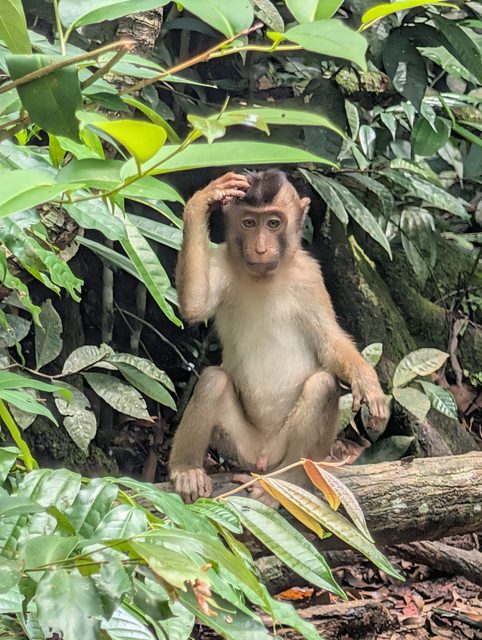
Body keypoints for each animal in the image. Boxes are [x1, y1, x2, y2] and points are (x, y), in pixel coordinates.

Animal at [169, 169, 388, 504]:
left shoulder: (310, 276)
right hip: (241, 447)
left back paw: (288, 481)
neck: (264, 275)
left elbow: (329, 342)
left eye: (273, 223)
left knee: (322, 386)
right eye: (249, 222)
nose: (260, 248)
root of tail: (263, 457)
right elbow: (195, 306)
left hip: (290, 449)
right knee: (213, 381)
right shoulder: (221, 260)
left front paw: (367, 382)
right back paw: (186, 470)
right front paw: (203, 200)